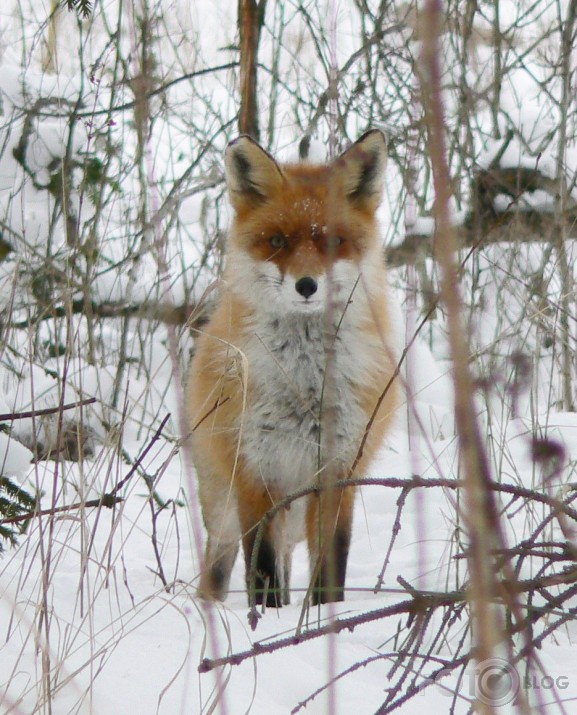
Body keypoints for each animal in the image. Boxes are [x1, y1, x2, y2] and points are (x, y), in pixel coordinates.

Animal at [187, 131, 398, 608]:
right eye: (278, 241)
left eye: (335, 241)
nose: (306, 285)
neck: (306, 381)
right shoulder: (256, 469)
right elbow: (261, 566)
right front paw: (267, 619)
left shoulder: (339, 469)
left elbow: (331, 563)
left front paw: (325, 614)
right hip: (224, 506)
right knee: (222, 560)